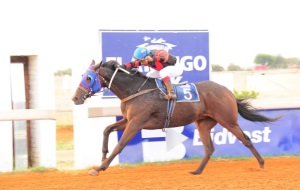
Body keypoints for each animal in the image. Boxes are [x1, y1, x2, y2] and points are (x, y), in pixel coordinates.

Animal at [71, 60, 280, 176]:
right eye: (82, 76)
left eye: (88, 78)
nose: (75, 98)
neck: (135, 90)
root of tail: (227, 90)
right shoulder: (128, 120)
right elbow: (107, 129)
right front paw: (102, 155)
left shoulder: (136, 123)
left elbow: (120, 145)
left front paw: (99, 168)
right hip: (204, 123)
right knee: (209, 148)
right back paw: (197, 171)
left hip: (228, 120)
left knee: (245, 139)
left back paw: (261, 165)